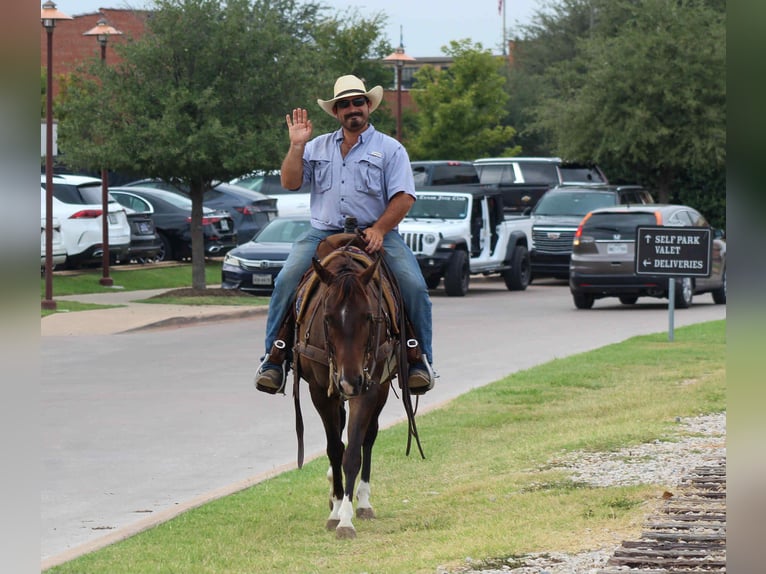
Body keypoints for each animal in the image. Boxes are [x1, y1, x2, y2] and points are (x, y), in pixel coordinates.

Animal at [289, 233, 418, 539]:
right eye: (327, 317)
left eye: (369, 317)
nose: (350, 381)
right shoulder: (319, 392)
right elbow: (335, 449)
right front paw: (336, 509)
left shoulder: (369, 388)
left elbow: (352, 452)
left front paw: (346, 518)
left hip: (378, 389)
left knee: (368, 439)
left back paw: (363, 502)